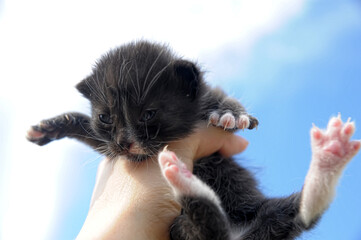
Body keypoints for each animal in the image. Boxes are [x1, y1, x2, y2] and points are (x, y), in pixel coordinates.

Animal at [26, 40, 358, 239]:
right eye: (106, 117)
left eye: (148, 114)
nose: (124, 141)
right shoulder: (110, 147)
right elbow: (95, 137)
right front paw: (52, 126)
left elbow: (224, 106)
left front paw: (229, 112)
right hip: (183, 228)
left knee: (301, 211)